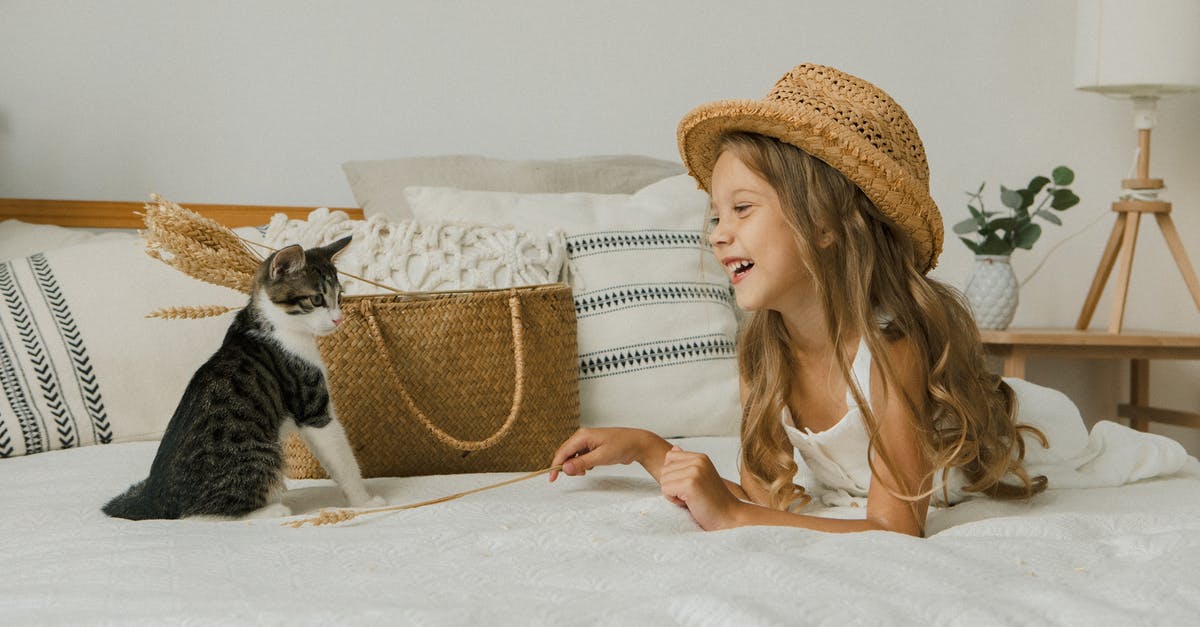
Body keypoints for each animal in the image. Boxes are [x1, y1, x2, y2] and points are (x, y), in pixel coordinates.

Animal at [107, 234, 381, 516]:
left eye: (340, 296)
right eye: (316, 299)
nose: (339, 319)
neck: (276, 324)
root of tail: (153, 497)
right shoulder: (311, 404)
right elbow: (341, 456)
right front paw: (364, 501)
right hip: (263, 454)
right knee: (200, 512)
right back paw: (272, 510)